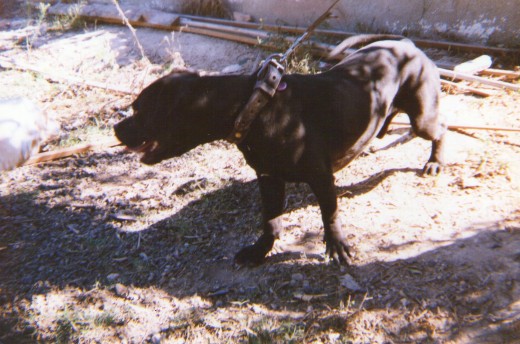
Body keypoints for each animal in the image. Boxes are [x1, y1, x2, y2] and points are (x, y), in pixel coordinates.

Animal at [114, 36, 446, 266]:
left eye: (140, 109)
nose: (116, 128)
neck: (252, 106)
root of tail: (408, 45)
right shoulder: (268, 177)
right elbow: (270, 221)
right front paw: (260, 251)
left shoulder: (321, 177)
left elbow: (330, 215)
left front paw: (337, 246)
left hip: (422, 118)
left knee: (439, 129)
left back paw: (435, 162)